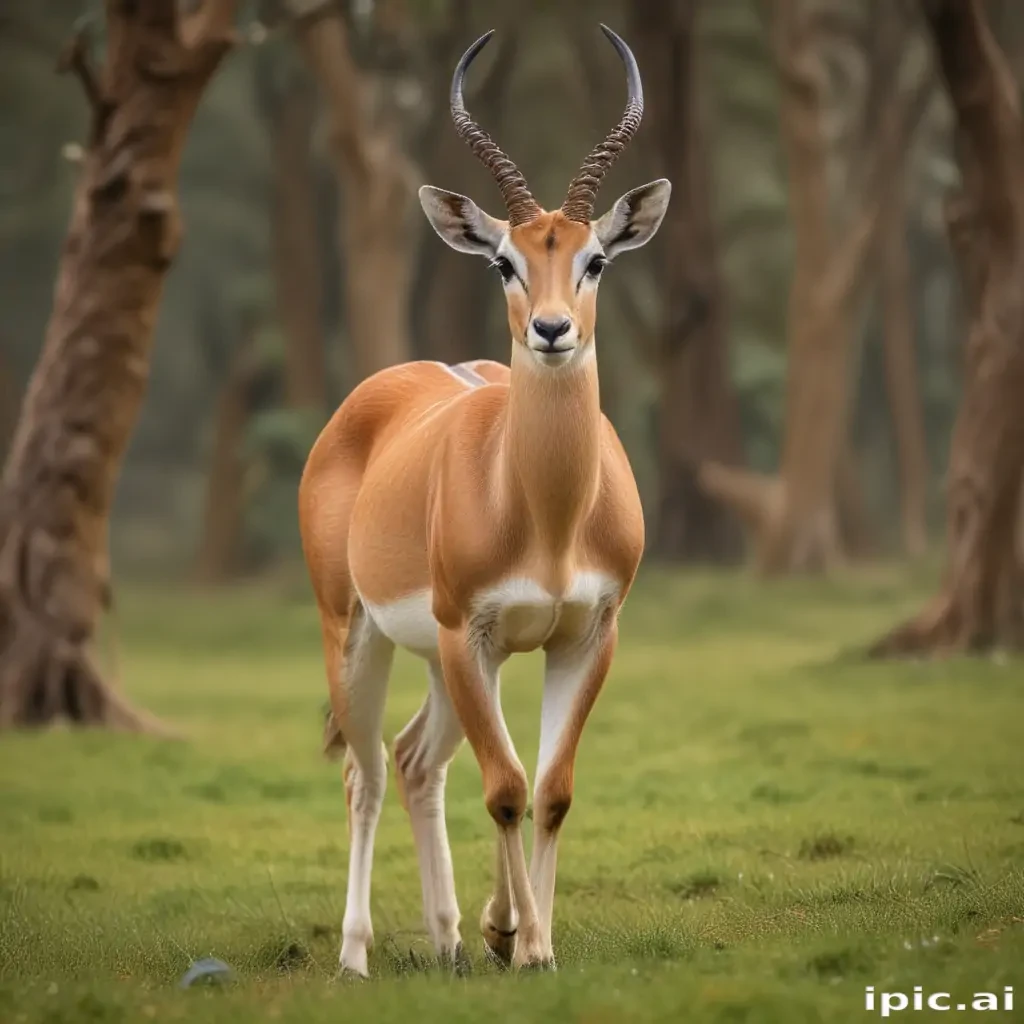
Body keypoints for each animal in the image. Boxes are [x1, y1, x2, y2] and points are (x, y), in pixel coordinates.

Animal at [298, 24, 670, 975]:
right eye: (506, 260)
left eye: (595, 258)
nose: (551, 330)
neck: (547, 519)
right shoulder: (472, 631)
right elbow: (505, 788)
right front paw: (528, 946)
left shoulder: (586, 635)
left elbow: (552, 789)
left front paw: (522, 935)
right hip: (361, 632)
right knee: (366, 770)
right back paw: (356, 955)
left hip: (447, 659)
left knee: (415, 760)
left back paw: (454, 938)